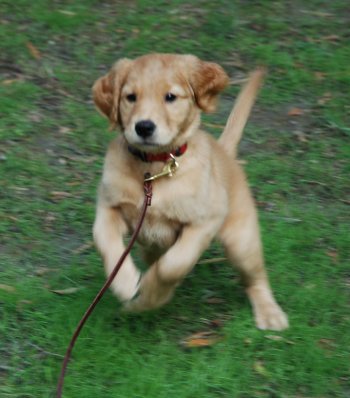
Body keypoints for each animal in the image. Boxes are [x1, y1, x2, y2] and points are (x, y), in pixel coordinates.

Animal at [91, 54, 288, 332]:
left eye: (170, 97)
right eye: (130, 97)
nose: (144, 127)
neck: (154, 169)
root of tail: (224, 152)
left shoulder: (206, 221)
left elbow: (173, 265)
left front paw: (150, 289)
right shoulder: (109, 206)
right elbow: (106, 241)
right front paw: (126, 283)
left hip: (241, 241)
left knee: (255, 277)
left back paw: (270, 313)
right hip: (150, 245)